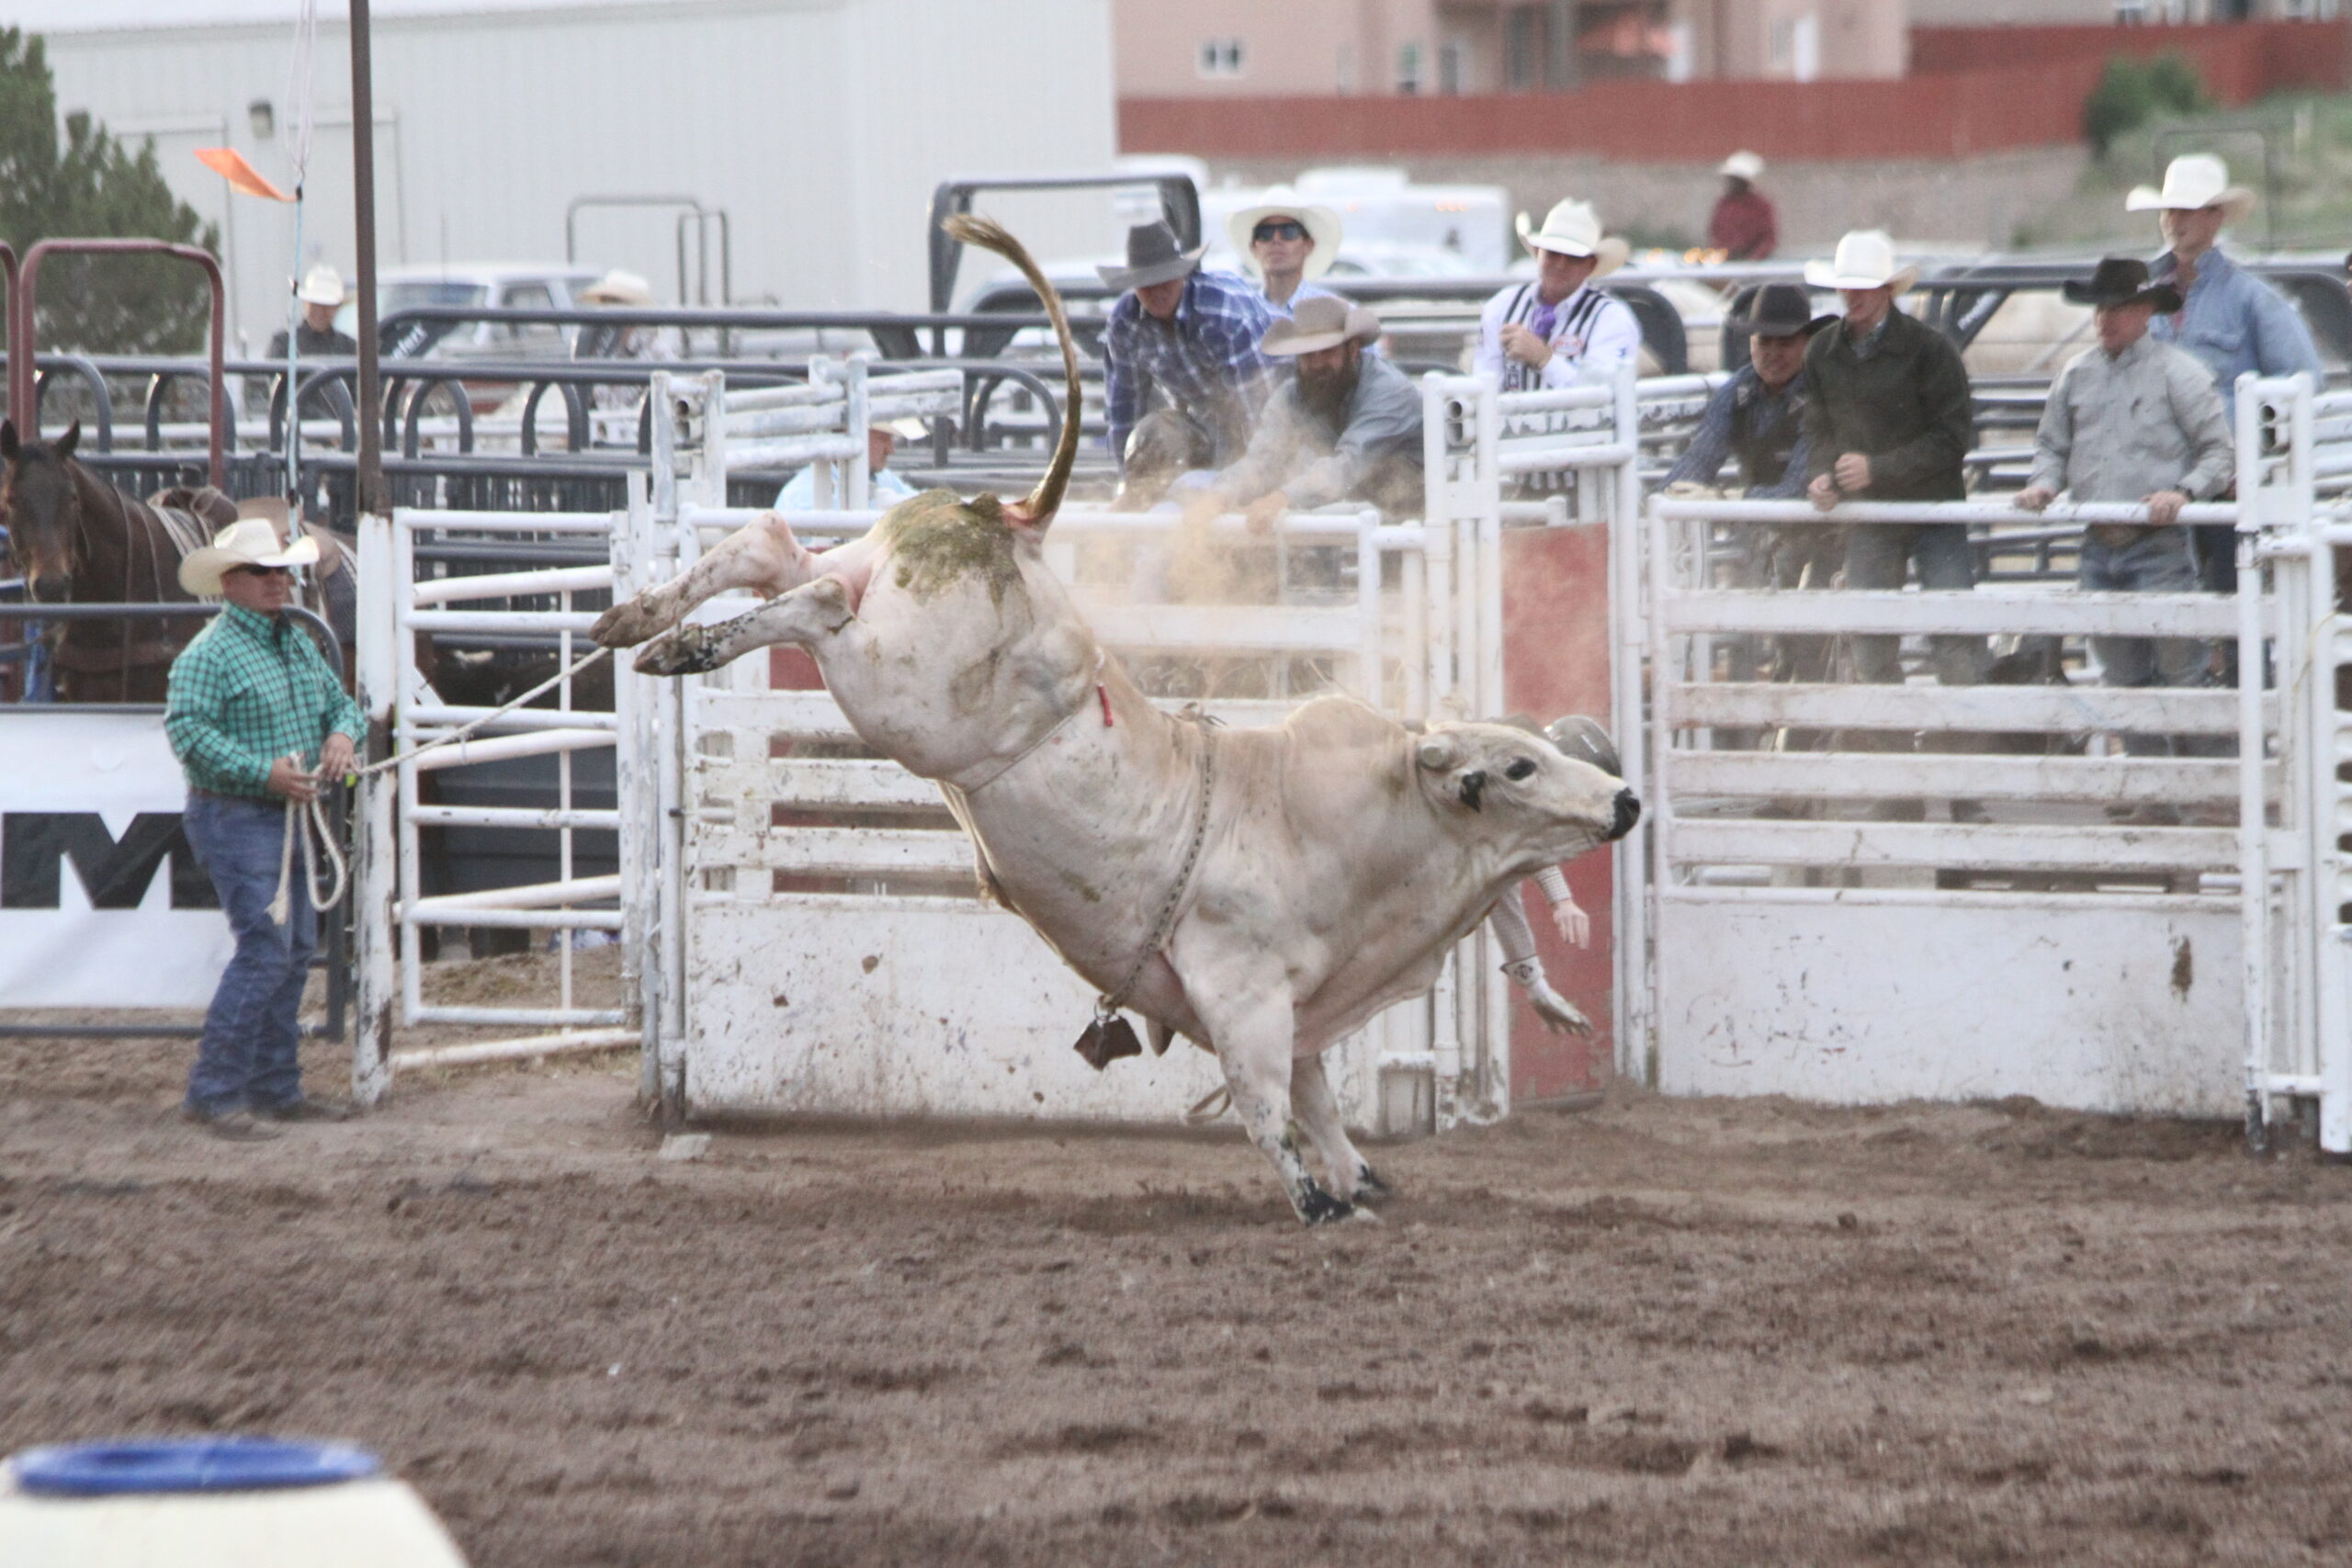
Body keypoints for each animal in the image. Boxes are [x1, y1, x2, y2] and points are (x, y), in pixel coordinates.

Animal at [597, 217, 1646, 1222]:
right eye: (1516, 768)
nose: (1626, 801)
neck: (1350, 831)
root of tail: (1011, 520)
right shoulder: (1245, 998)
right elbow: (1270, 1104)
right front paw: (1316, 1202)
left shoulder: (1303, 1010)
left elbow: (1317, 1099)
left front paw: (1357, 1179)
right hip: (900, 694)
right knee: (812, 602)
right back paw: (682, 646)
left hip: (875, 584)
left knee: (771, 545)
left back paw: (643, 626)